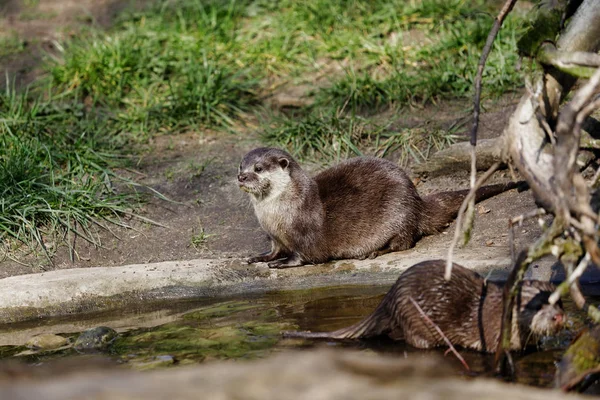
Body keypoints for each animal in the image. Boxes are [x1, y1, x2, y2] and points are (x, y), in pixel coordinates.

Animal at [238, 147, 520, 268]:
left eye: (258, 168)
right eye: (241, 165)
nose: (241, 177)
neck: (277, 215)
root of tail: (417, 199)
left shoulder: (306, 233)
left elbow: (305, 255)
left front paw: (283, 263)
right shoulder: (273, 236)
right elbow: (274, 250)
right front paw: (261, 258)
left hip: (399, 214)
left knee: (403, 243)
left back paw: (374, 252)